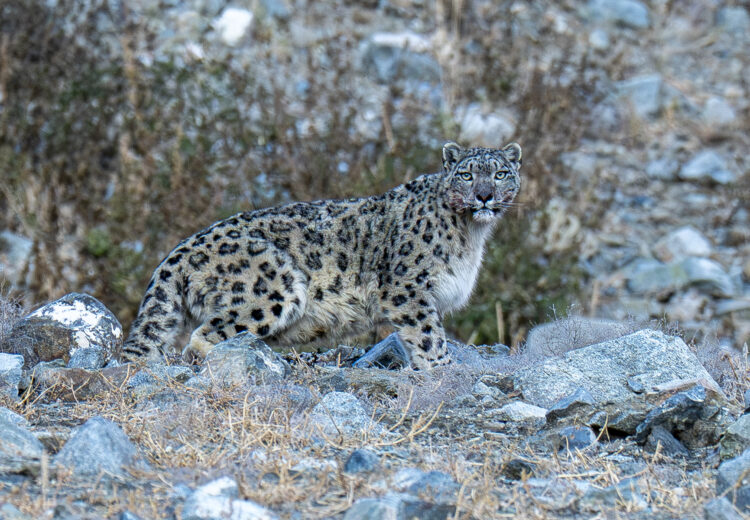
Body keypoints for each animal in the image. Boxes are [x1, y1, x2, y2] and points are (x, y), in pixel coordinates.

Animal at [121, 141, 522, 370]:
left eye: (502, 173)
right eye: (466, 174)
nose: (484, 195)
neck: (472, 236)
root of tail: (176, 253)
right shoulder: (407, 290)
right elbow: (427, 334)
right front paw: (444, 368)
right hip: (274, 287)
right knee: (205, 336)